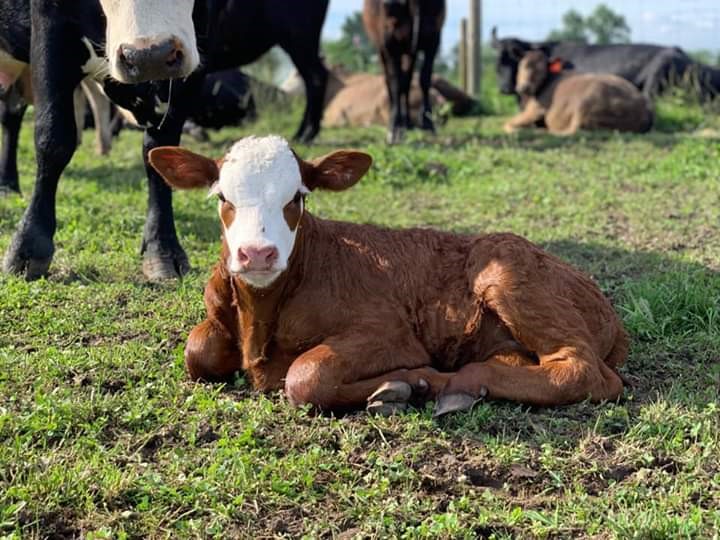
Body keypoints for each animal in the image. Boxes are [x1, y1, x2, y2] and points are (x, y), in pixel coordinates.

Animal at [149, 137, 628, 416]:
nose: (256, 254)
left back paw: (441, 383)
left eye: (298, 197)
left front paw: (399, 385)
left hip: (508, 274)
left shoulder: (389, 332)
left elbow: (306, 375)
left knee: (585, 373)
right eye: (222, 197)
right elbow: (197, 351)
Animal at [504, 50, 656, 136]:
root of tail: (645, 107)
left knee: (571, 131)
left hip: (586, 103)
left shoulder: (535, 110)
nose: (524, 87)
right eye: (523, 65)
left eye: (541, 70)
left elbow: (507, 122)